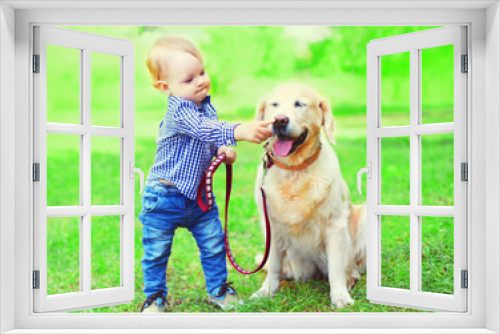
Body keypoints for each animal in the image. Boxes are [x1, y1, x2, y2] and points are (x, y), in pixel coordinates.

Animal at [252, 83, 366, 308]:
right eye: (274, 104)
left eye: (300, 104)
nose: (279, 120)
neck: (295, 169)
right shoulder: (272, 226)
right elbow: (274, 264)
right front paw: (266, 291)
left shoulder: (335, 224)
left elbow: (337, 268)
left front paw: (340, 296)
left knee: (352, 265)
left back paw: (352, 276)